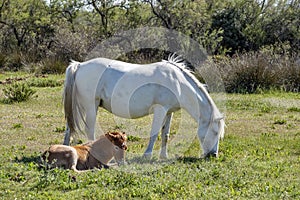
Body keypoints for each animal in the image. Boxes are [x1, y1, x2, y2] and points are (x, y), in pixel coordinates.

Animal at [62, 55, 224, 159]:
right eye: (215, 132)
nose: (213, 155)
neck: (177, 83)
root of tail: (80, 65)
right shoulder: (160, 110)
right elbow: (154, 133)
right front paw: (147, 155)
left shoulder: (169, 112)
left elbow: (165, 134)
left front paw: (163, 156)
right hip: (91, 106)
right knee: (89, 130)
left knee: (69, 129)